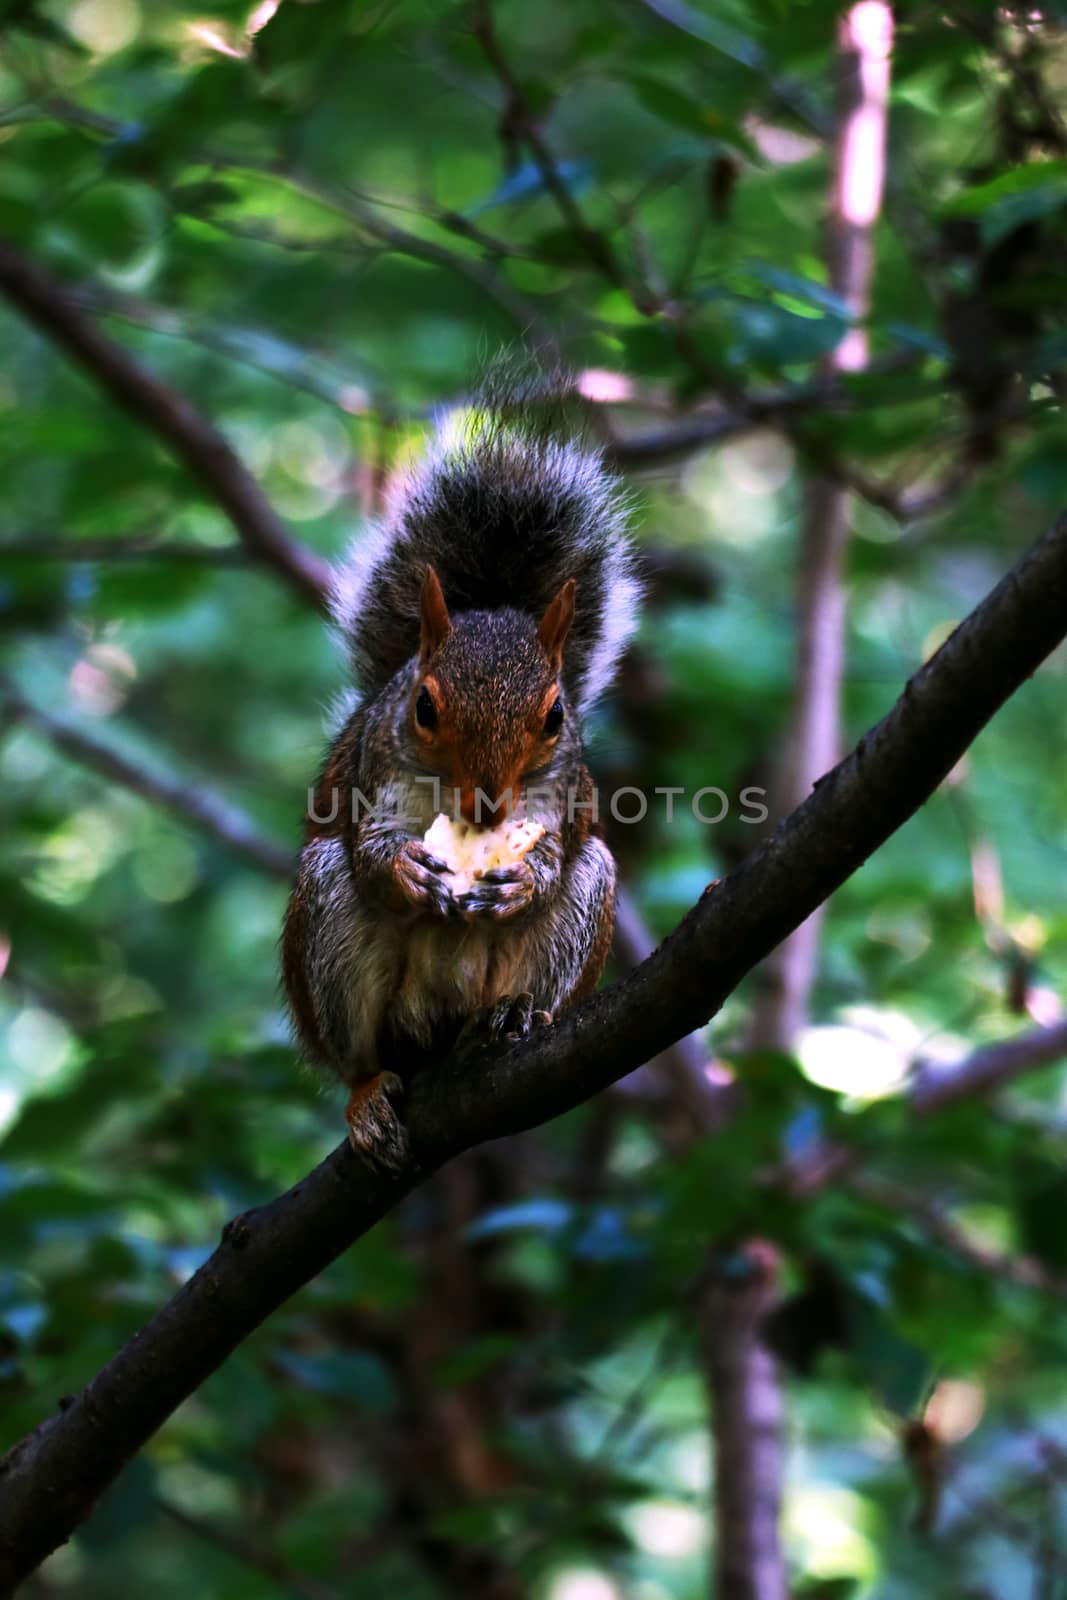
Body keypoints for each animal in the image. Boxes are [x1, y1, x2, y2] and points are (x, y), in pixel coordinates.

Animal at [279, 380, 643, 1171]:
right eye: (422, 705)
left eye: (555, 715)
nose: (487, 804)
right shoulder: (371, 777)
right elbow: (368, 848)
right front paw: (404, 870)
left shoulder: (565, 796)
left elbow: (556, 850)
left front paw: (524, 878)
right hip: (327, 929)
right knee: (361, 1055)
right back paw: (367, 1098)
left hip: (580, 916)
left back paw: (510, 1015)